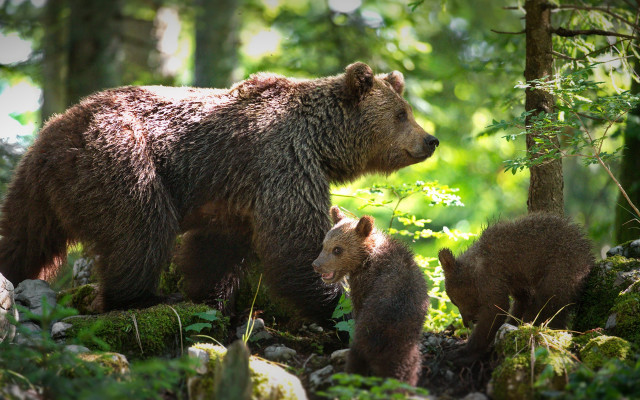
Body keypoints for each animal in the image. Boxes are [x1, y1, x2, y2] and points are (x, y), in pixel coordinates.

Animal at [0, 62, 439, 320]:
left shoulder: (234, 194)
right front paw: (334, 304)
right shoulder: (281, 161)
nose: (430, 140)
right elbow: (294, 242)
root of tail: (57, 133)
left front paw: (209, 297)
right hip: (121, 159)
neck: (321, 142)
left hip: (35, 186)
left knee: (23, 237)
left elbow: (217, 249)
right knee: (141, 231)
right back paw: (138, 298)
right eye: (402, 114)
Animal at [438, 212, 595, 363]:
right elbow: (522, 301)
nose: (466, 322)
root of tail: (588, 257)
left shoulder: (490, 275)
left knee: (549, 303)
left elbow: (495, 309)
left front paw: (463, 353)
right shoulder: (514, 280)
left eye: (454, 300)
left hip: (563, 268)